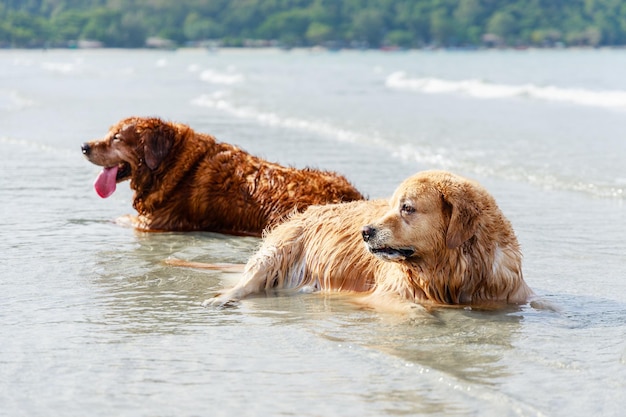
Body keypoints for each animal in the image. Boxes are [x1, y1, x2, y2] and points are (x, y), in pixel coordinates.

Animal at [81, 116, 364, 234]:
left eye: (116, 138)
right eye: (108, 133)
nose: (84, 146)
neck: (173, 162)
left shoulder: (156, 222)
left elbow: (120, 218)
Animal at [204, 169, 532, 308]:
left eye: (407, 208)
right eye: (391, 204)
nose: (365, 231)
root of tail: (307, 210)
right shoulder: (389, 293)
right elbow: (413, 306)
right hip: (279, 249)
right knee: (247, 281)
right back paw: (222, 299)